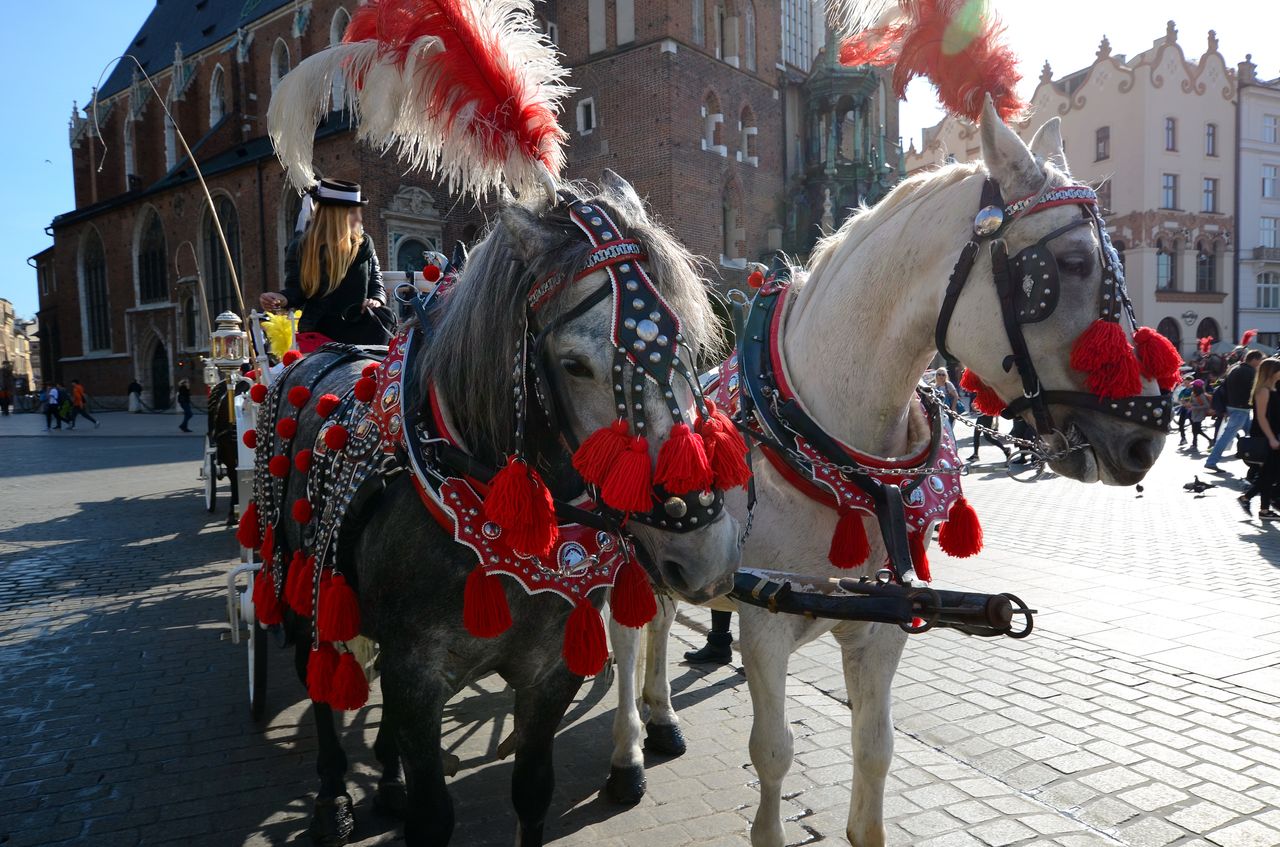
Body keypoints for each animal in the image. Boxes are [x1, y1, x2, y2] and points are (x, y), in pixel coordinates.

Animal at [609, 101, 1172, 847]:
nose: (1148, 437)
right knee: (623, 640)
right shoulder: (764, 624)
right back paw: (628, 750)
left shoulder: (883, 625)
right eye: (1073, 262)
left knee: (663, 618)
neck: (833, 450)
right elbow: (774, 750)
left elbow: (876, 751)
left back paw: (662, 714)